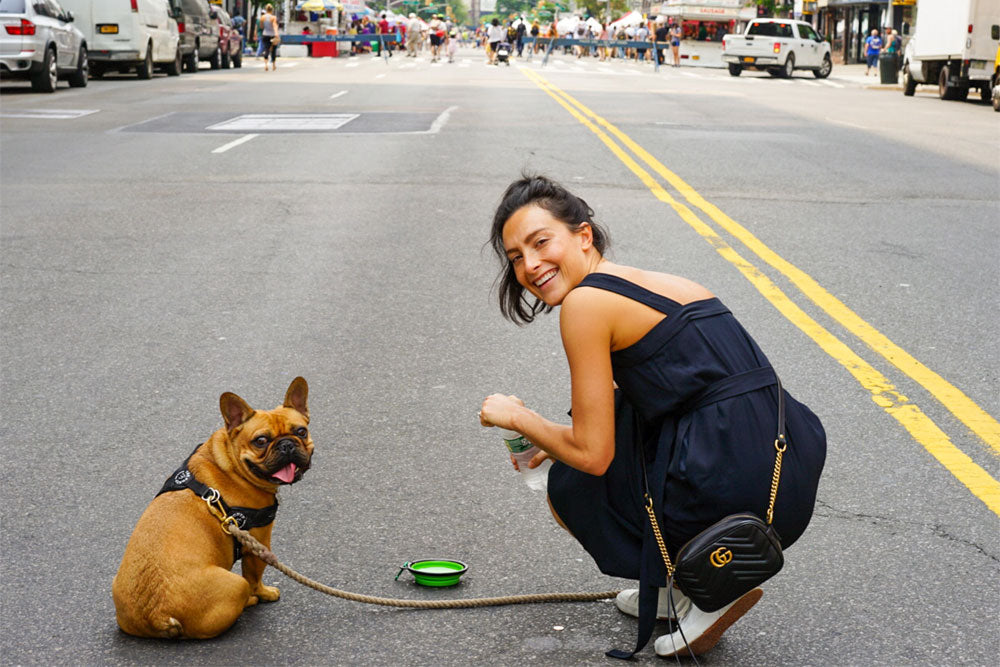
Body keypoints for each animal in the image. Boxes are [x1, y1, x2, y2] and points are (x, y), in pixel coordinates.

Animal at [110, 378, 314, 640]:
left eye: (301, 432)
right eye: (260, 441)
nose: (287, 445)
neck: (229, 463)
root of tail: (158, 616)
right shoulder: (258, 544)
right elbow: (255, 576)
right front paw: (265, 594)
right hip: (235, 584)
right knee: (241, 592)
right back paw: (249, 601)